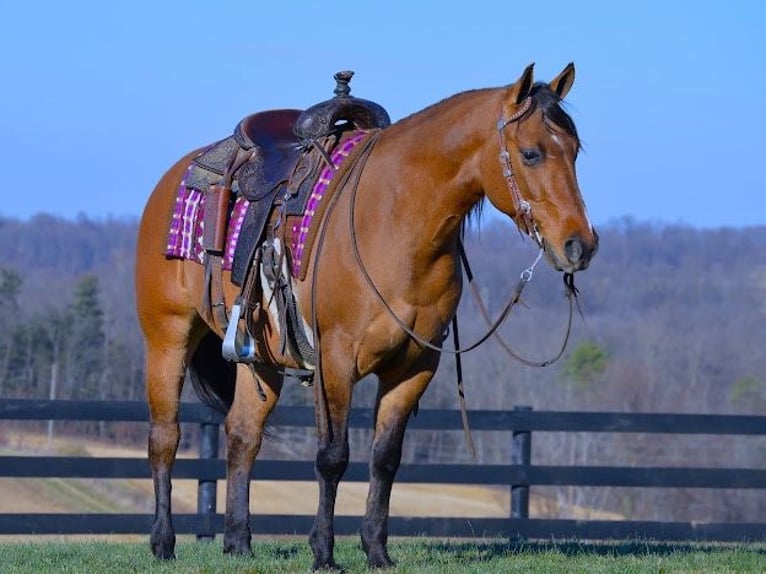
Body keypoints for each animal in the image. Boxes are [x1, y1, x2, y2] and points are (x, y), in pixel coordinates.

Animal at [134, 64, 600, 572]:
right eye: (531, 153)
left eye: (575, 151)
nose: (580, 245)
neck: (397, 220)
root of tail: (174, 177)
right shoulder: (335, 362)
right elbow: (333, 456)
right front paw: (323, 553)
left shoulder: (414, 367)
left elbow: (385, 458)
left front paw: (376, 550)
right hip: (168, 337)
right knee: (165, 436)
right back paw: (162, 542)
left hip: (261, 359)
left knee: (242, 433)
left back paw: (238, 543)